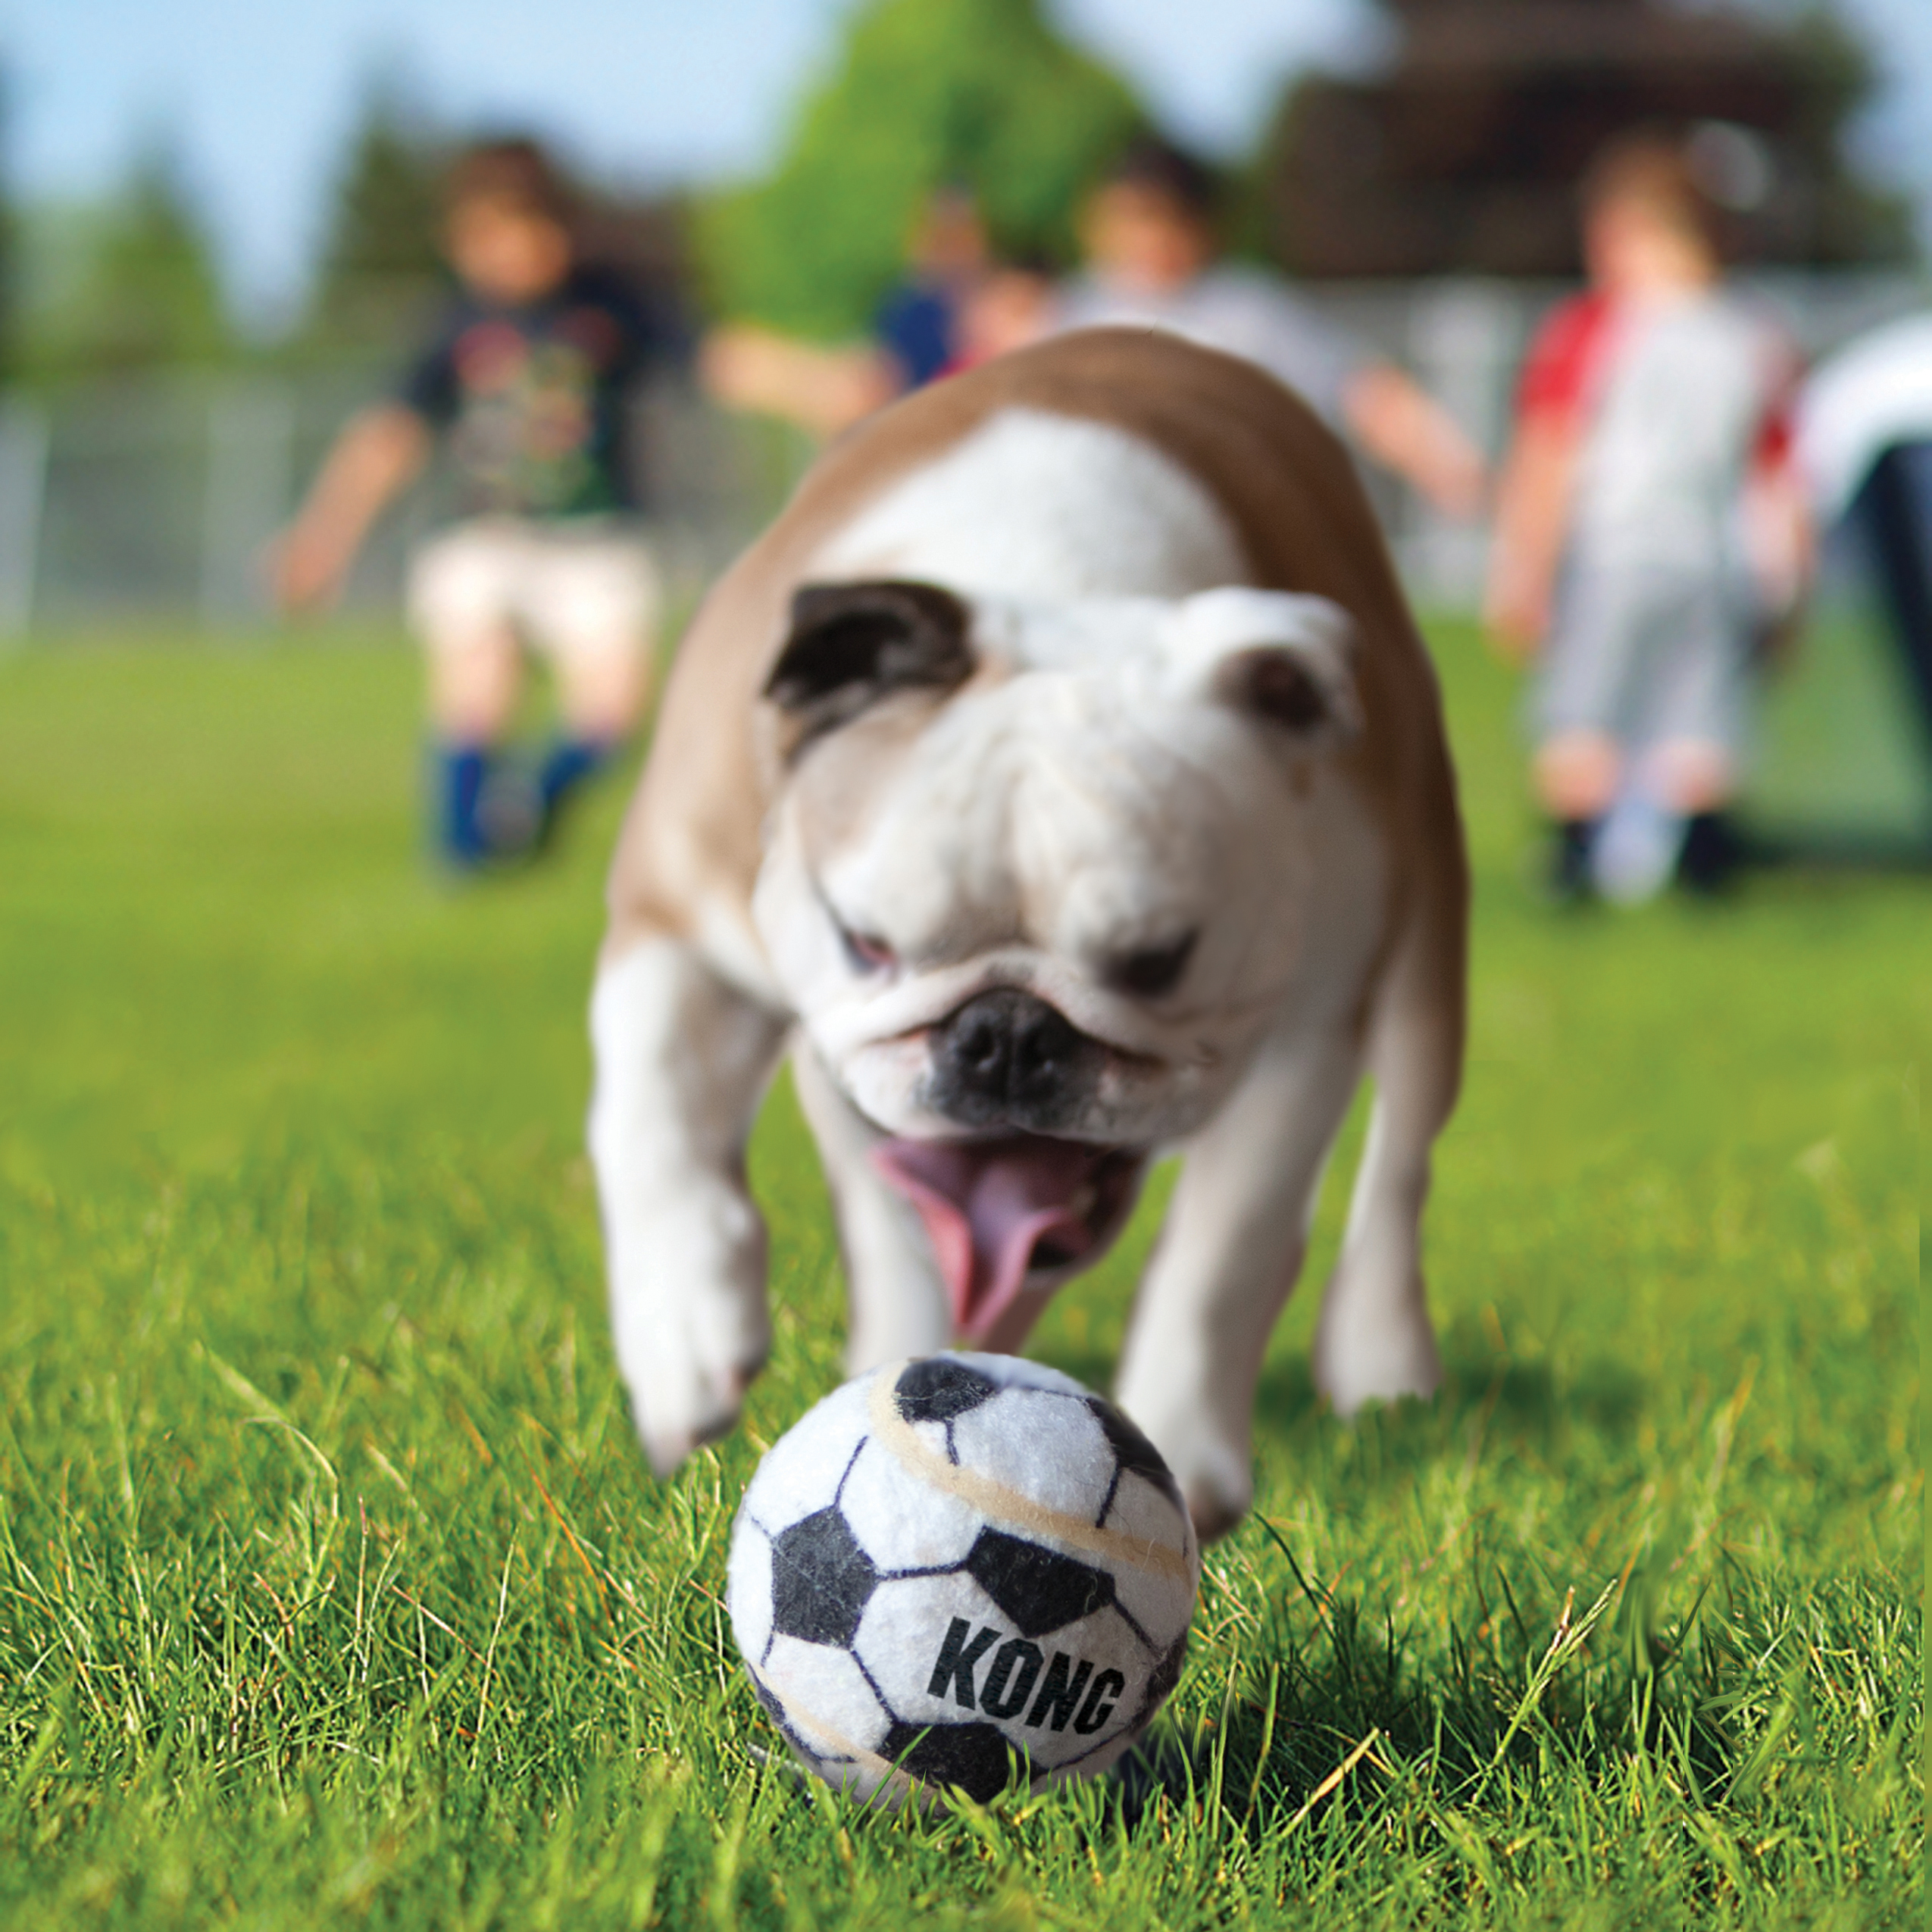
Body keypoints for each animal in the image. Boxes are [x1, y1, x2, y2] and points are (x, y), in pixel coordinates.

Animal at [587, 328, 1460, 1537]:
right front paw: (684, 1333)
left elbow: (1226, 1251)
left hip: (1425, 957)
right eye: (864, 942)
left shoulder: (1308, 1029)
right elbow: (652, 1113)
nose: (1005, 1033)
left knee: (1401, 1164)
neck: (1057, 599)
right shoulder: (675, 920)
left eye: (1158, 961)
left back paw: (1385, 1363)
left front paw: (1181, 1449)